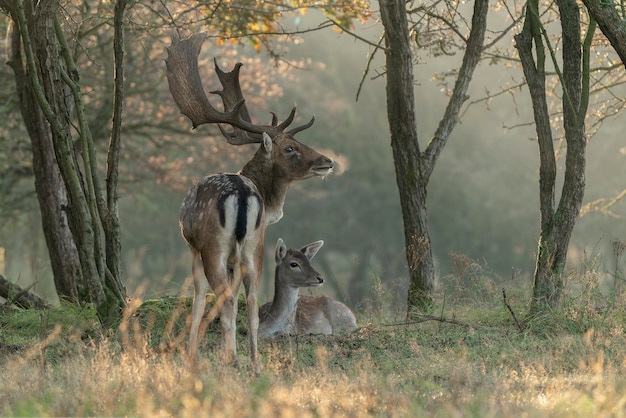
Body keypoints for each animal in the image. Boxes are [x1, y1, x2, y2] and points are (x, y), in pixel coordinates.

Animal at [163, 33, 334, 372]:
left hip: (214, 247)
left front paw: (191, 354)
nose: (328, 161)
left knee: (227, 298)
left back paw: (231, 360)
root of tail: (242, 192)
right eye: (291, 148)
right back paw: (254, 364)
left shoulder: (193, 247)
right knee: (252, 301)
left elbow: (199, 296)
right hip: (254, 247)